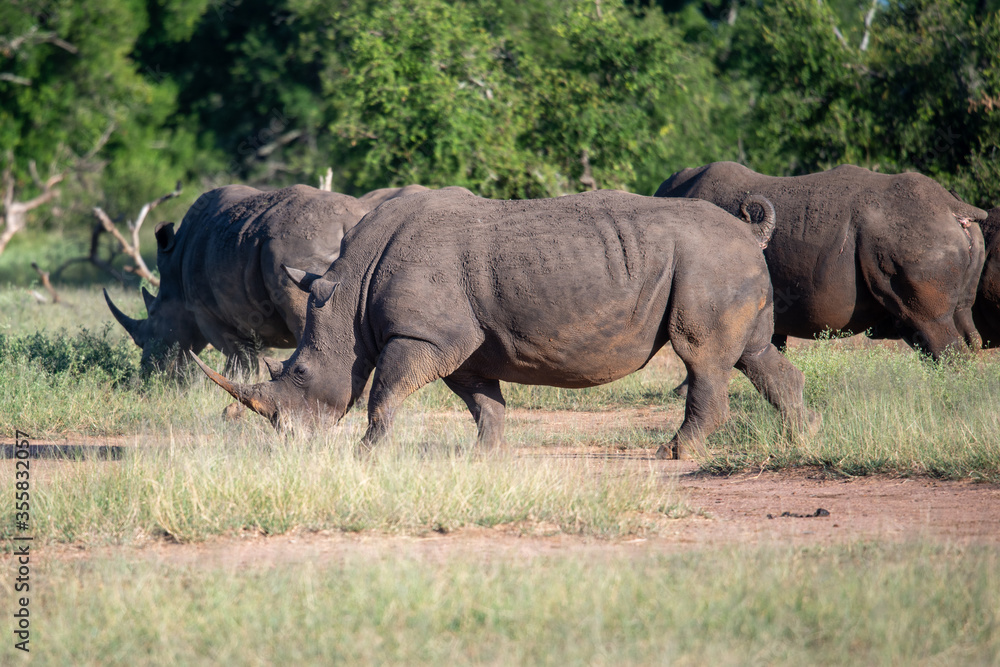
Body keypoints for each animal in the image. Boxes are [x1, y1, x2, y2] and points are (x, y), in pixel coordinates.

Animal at [105, 183, 426, 376]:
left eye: (153, 319)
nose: (149, 373)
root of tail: (352, 222)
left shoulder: (207, 314)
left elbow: (242, 360)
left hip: (299, 248)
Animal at [191, 187, 816, 460]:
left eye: (297, 374)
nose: (289, 442)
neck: (350, 294)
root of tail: (749, 229)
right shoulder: (462, 341)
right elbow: (481, 399)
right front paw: (484, 455)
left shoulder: (426, 335)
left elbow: (385, 391)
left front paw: (367, 452)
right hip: (723, 261)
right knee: (755, 355)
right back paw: (801, 437)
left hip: (705, 261)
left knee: (703, 357)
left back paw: (675, 454)